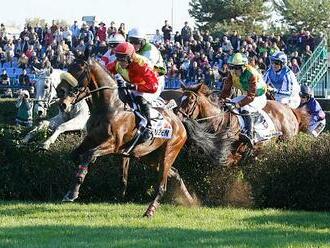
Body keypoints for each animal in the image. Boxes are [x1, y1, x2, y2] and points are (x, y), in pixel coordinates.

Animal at [58, 58, 217, 217]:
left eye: (78, 72)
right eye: (68, 69)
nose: (62, 101)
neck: (111, 105)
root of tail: (180, 121)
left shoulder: (113, 144)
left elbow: (89, 155)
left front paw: (73, 192)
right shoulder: (92, 139)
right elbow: (76, 156)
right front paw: (72, 189)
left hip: (169, 153)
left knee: (162, 185)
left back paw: (150, 211)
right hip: (149, 157)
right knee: (174, 173)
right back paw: (190, 201)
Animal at [177, 84, 308, 167]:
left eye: (191, 100)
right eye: (180, 99)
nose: (177, 116)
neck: (219, 122)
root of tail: (291, 111)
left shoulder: (228, 154)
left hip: (285, 142)